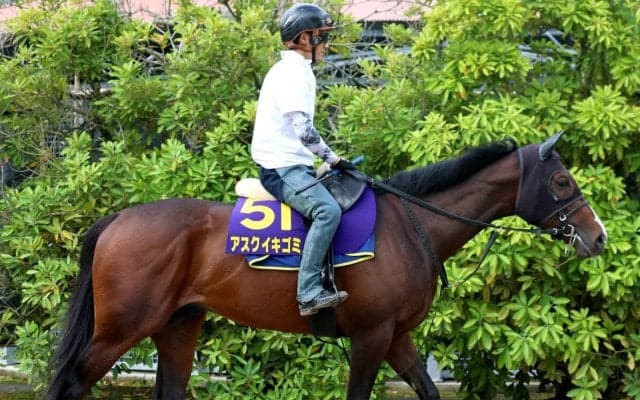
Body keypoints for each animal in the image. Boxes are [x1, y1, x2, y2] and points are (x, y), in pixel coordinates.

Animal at [42, 134, 606, 400]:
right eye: (561, 182)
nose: (598, 237)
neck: (410, 226)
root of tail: (118, 217)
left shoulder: (396, 336)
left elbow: (426, 389)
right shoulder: (371, 336)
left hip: (178, 325)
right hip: (121, 329)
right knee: (71, 382)